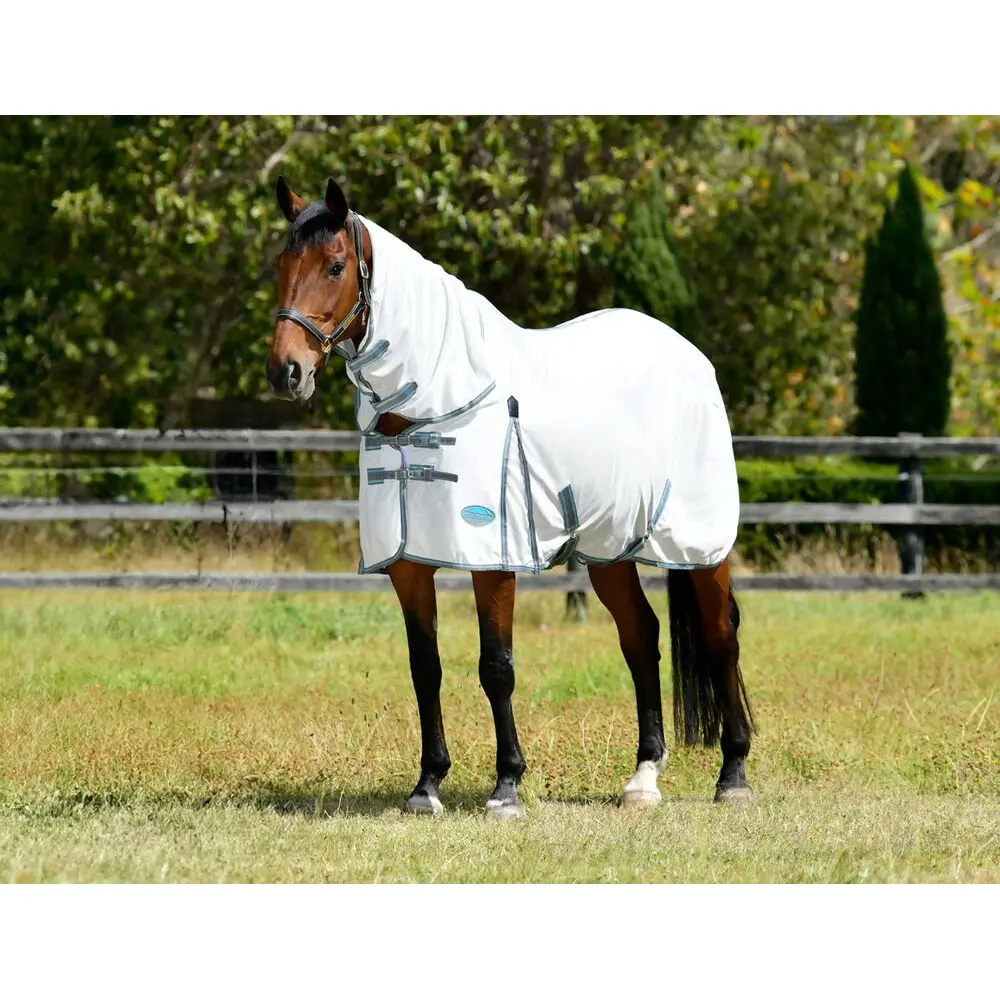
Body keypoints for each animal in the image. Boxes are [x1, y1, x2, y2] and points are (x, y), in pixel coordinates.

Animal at [265, 177, 755, 819]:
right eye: (280, 265)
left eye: (335, 265)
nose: (286, 373)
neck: (441, 398)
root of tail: (688, 354)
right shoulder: (408, 565)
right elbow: (426, 668)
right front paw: (426, 786)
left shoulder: (492, 562)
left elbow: (495, 667)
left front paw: (506, 787)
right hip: (609, 549)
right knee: (640, 637)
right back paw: (643, 778)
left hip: (700, 545)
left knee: (721, 636)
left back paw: (733, 775)